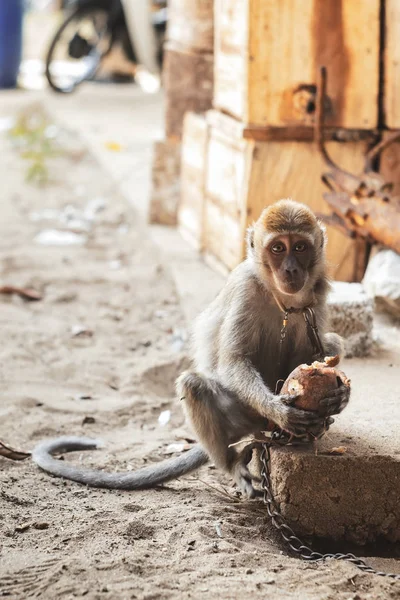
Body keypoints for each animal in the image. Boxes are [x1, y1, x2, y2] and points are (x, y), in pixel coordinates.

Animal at [32, 202, 350, 496]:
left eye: (300, 247)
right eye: (277, 248)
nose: (291, 268)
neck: (282, 299)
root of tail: (260, 427)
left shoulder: (319, 295)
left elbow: (319, 353)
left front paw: (339, 396)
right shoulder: (245, 288)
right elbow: (233, 361)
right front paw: (279, 409)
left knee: (332, 341)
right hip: (241, 415)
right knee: (193, 385)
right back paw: (232, 463)